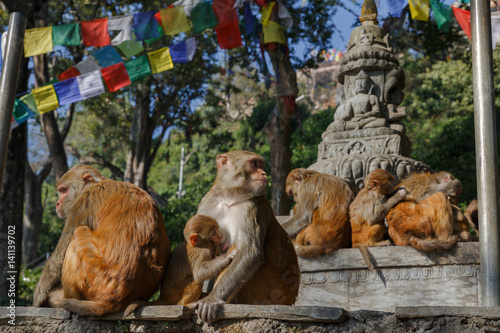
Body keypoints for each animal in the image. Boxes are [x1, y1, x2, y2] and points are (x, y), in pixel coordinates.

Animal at [33, 165, 171, 316]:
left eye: (64, 190)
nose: (57, 203)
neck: (97, 183)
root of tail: (118, 300)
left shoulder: (84, 202)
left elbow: (61, 253)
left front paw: (39, 296)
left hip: (97, 279)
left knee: (79, 232)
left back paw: (67, 297)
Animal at [187, 150, 296, 322]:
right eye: (255, 164)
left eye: (260, 164)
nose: (264, 173)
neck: (230, 198)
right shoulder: (206, 206)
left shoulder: (252, 205)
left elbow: (250, 252)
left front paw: (211, 299)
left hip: (268, 293)